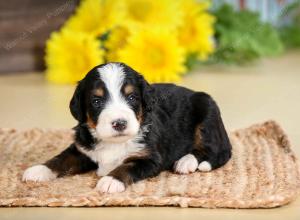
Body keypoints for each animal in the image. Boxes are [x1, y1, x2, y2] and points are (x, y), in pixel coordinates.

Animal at [22, 62, 232, 192]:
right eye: (96, 101)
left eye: (131, 97)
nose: (119, 123)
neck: (116, 142)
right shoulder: (82, 148)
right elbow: (61, 159)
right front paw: (38, 170)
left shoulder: (150, 158)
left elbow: (127, 166)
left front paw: (110, 180)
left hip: (207, 111)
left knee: (212, 149)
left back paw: (185, 162)